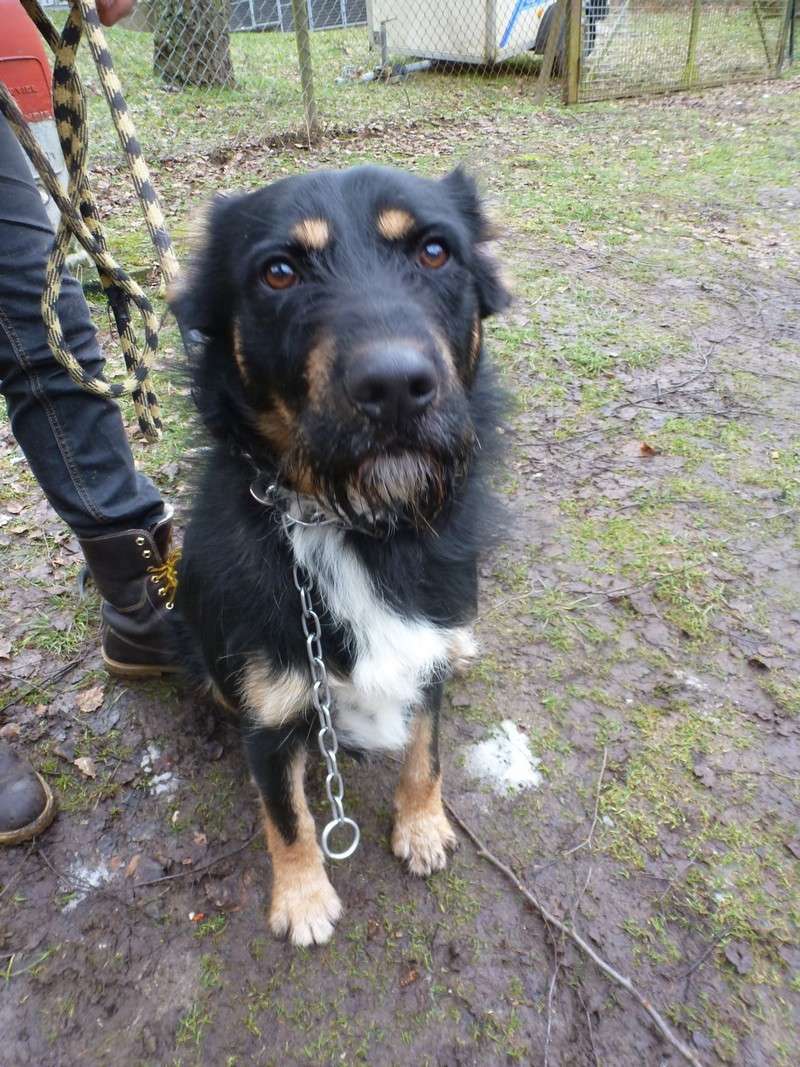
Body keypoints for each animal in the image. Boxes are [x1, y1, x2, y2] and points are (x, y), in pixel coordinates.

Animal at [172, 162, 509, 947]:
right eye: (279, 271)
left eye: (435, 251)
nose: (396, 388)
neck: (354, 522)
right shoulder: (271, 712)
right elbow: (287, 814)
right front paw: (302, 899)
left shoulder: (424, 654)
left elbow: (426, 751)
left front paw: (422, 827)